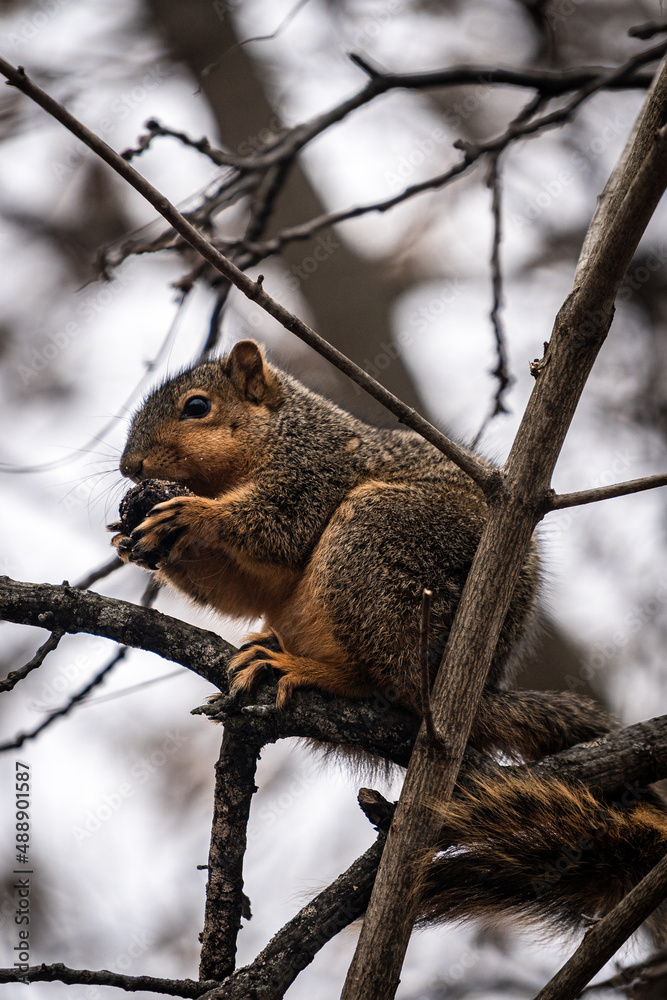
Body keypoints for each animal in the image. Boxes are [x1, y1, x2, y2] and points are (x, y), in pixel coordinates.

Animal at [109, 338, 667, 936]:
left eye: (196, 407)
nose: (129, 467)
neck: (278, 434)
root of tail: (476, 686)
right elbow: (246, 586)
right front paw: (135, 542)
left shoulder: (315, 472)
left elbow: (277, 528)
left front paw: (192, 513)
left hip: (383, 543)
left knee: (382, 679)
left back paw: (302, 668)